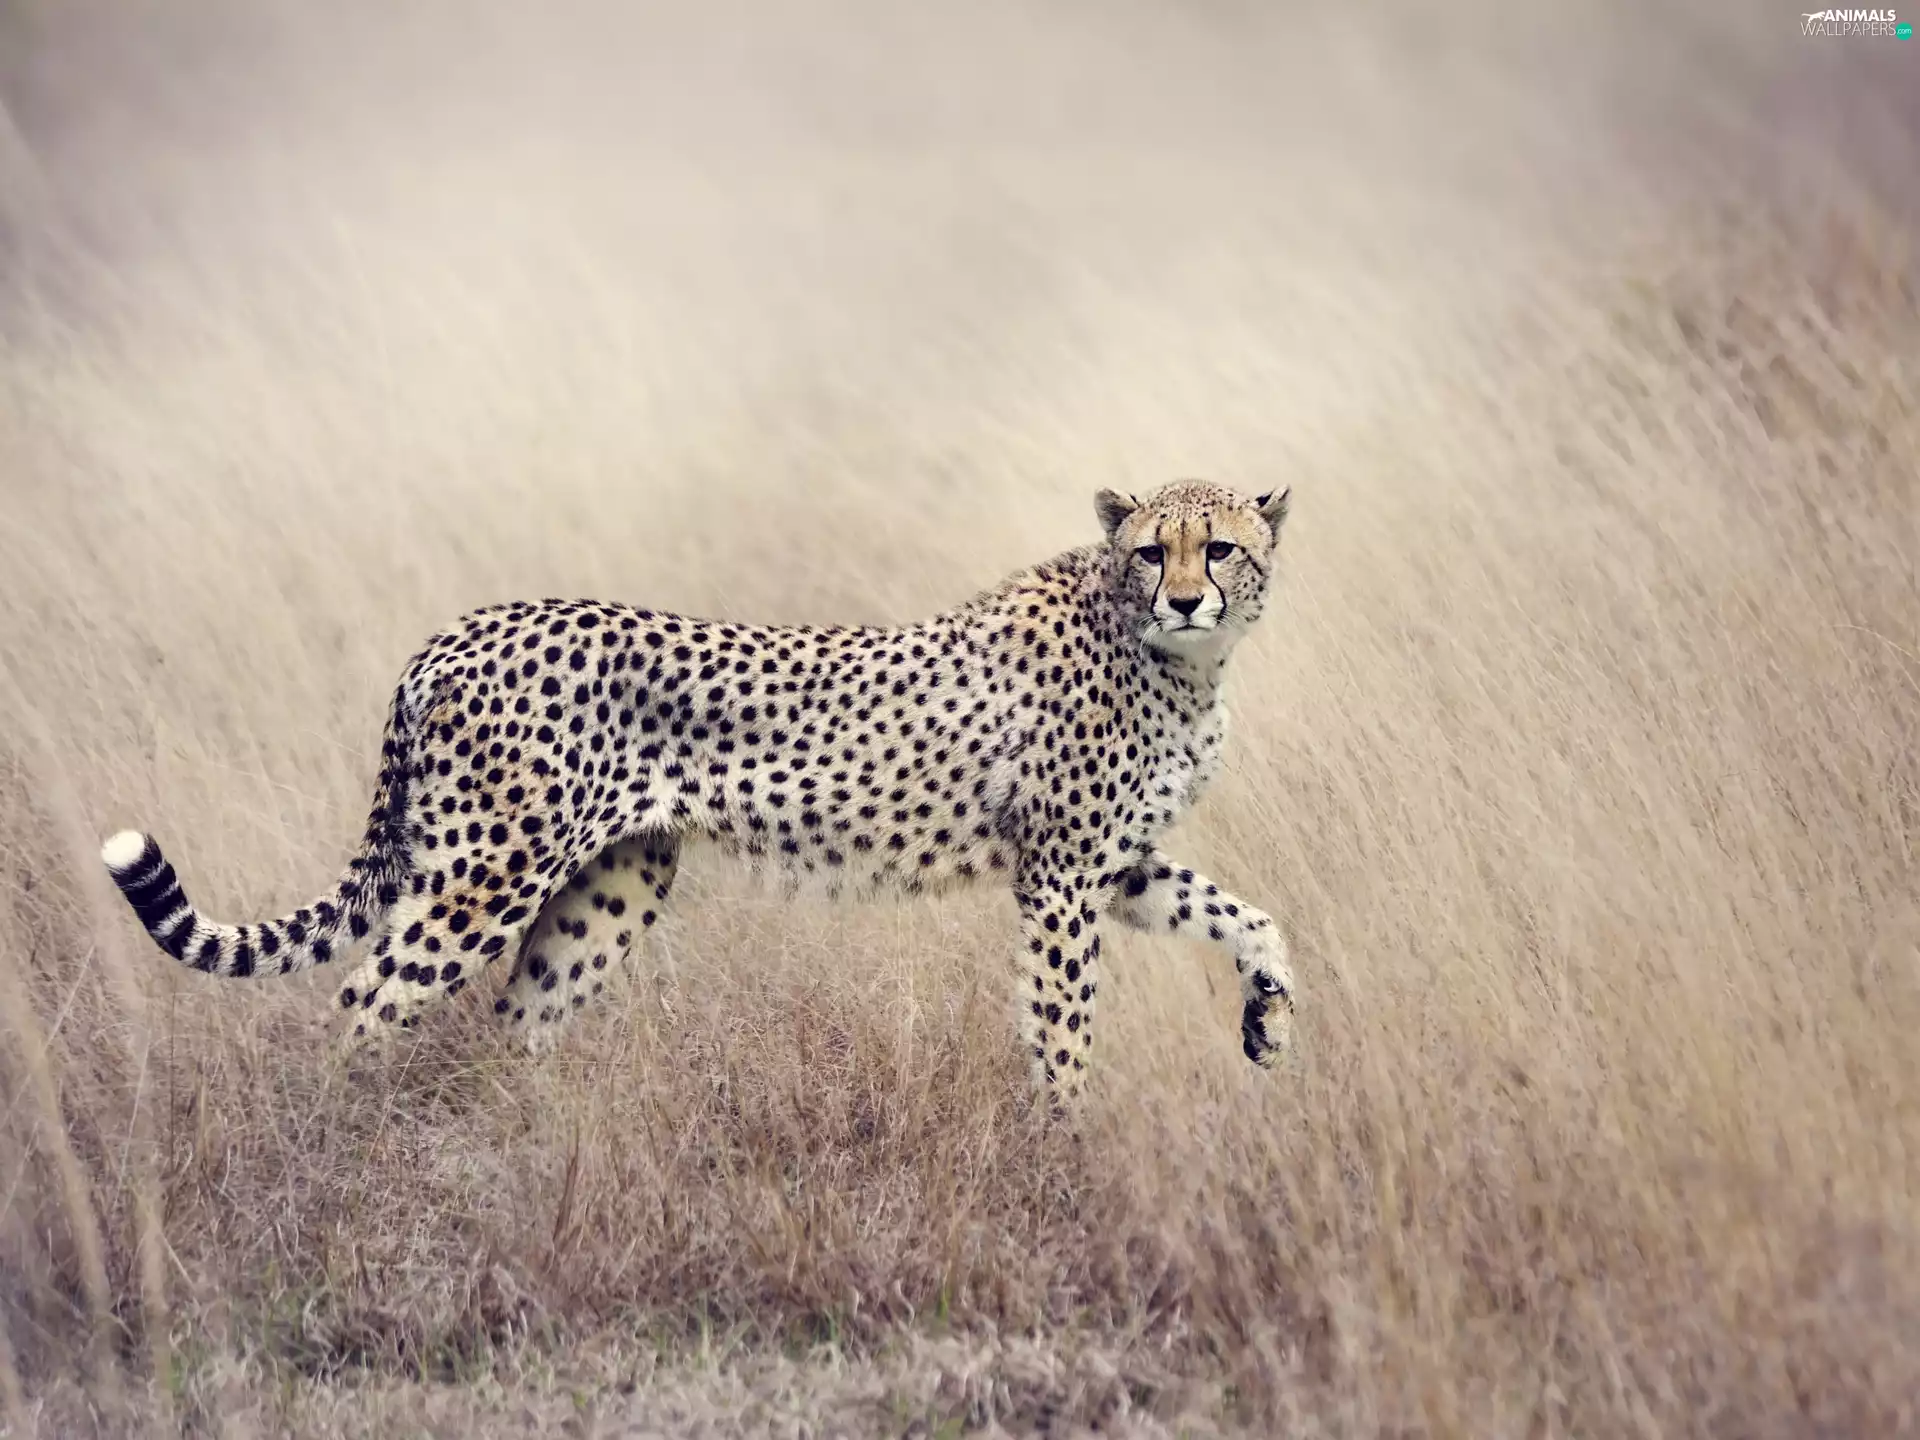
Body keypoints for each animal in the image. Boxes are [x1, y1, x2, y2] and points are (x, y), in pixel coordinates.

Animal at [100, 479, 1296, 1102]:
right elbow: (1064, 1023)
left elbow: (1249, 916)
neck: (1179, 663)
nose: (1186, 599)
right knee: (364, 1000)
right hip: (483, 877)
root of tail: (459, 630)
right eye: (1152, 552)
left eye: (1220, 548)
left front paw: (1268, 1017)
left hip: (613, 883)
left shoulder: (1114, 866)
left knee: (516, 1017)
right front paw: (1061, 1147)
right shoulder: (1059, 878)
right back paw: (343, 1149)